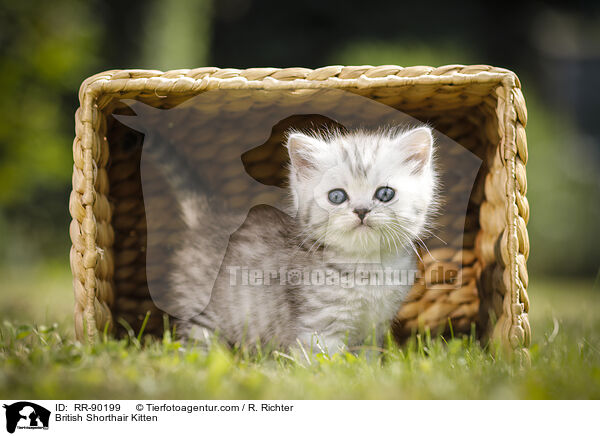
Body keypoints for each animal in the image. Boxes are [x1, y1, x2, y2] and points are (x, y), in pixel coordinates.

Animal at [152, 124, 438, 352]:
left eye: (385, 194)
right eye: (337, 196)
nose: (361, 210)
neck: (368, 268)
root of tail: (211, 217)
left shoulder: (372, 329)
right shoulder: (319, 328)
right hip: (205, 313)